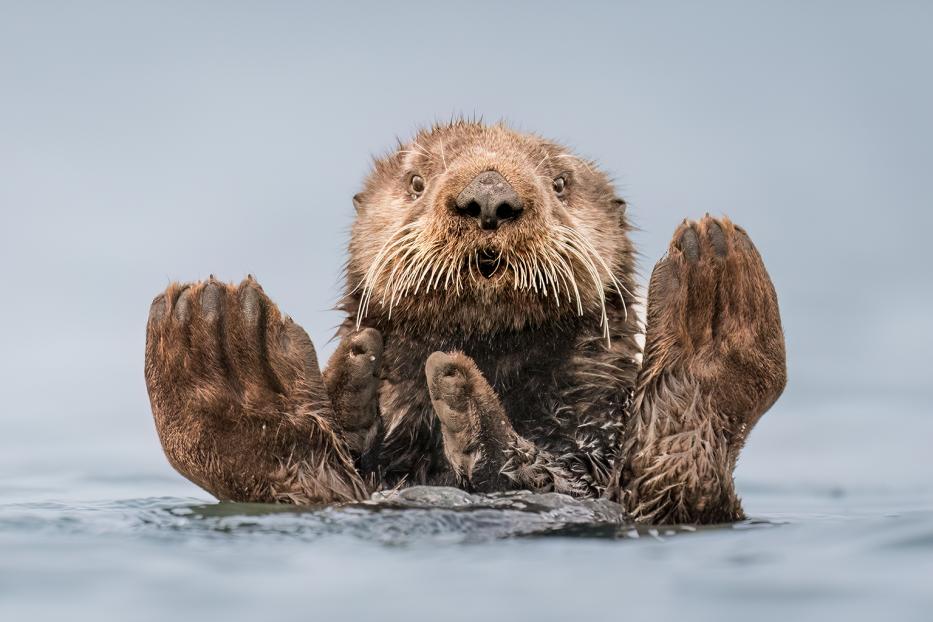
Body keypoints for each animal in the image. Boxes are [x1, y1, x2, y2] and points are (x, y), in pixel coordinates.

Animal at [146, 119, 788, 524]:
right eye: (416, 181)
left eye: (560, 183)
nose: (488, 196)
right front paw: (357, 378)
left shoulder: (594, 434)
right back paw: (228, 352)